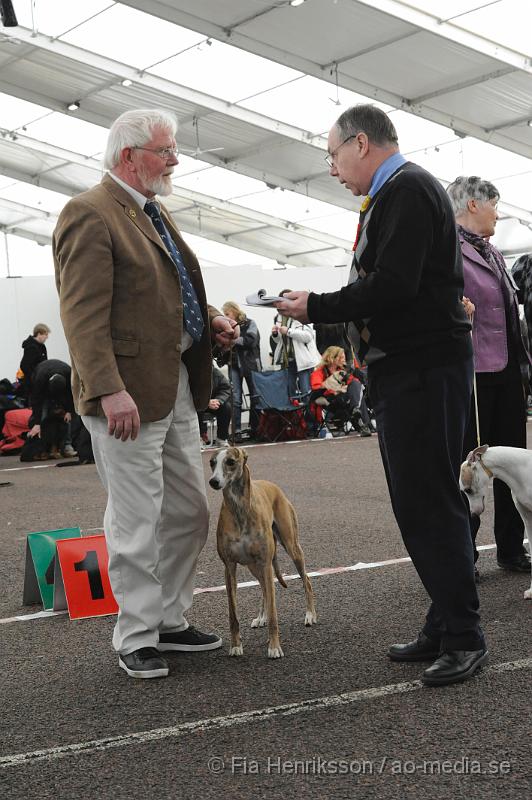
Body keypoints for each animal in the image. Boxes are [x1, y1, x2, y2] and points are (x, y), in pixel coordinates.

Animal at [208, 446, 316, 660]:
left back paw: (310, 615)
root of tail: (272, 485)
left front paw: (274, 647)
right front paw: (236, 646)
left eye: (230, 461)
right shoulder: (229, 567)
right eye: (212, 463)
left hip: (291, 547)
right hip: (254, 566)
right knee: (265, 589)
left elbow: (275, 614)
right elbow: (233, 614)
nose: (213, 481)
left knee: (305, 580)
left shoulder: (265, 562)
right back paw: (260, 617)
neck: (240, 509)